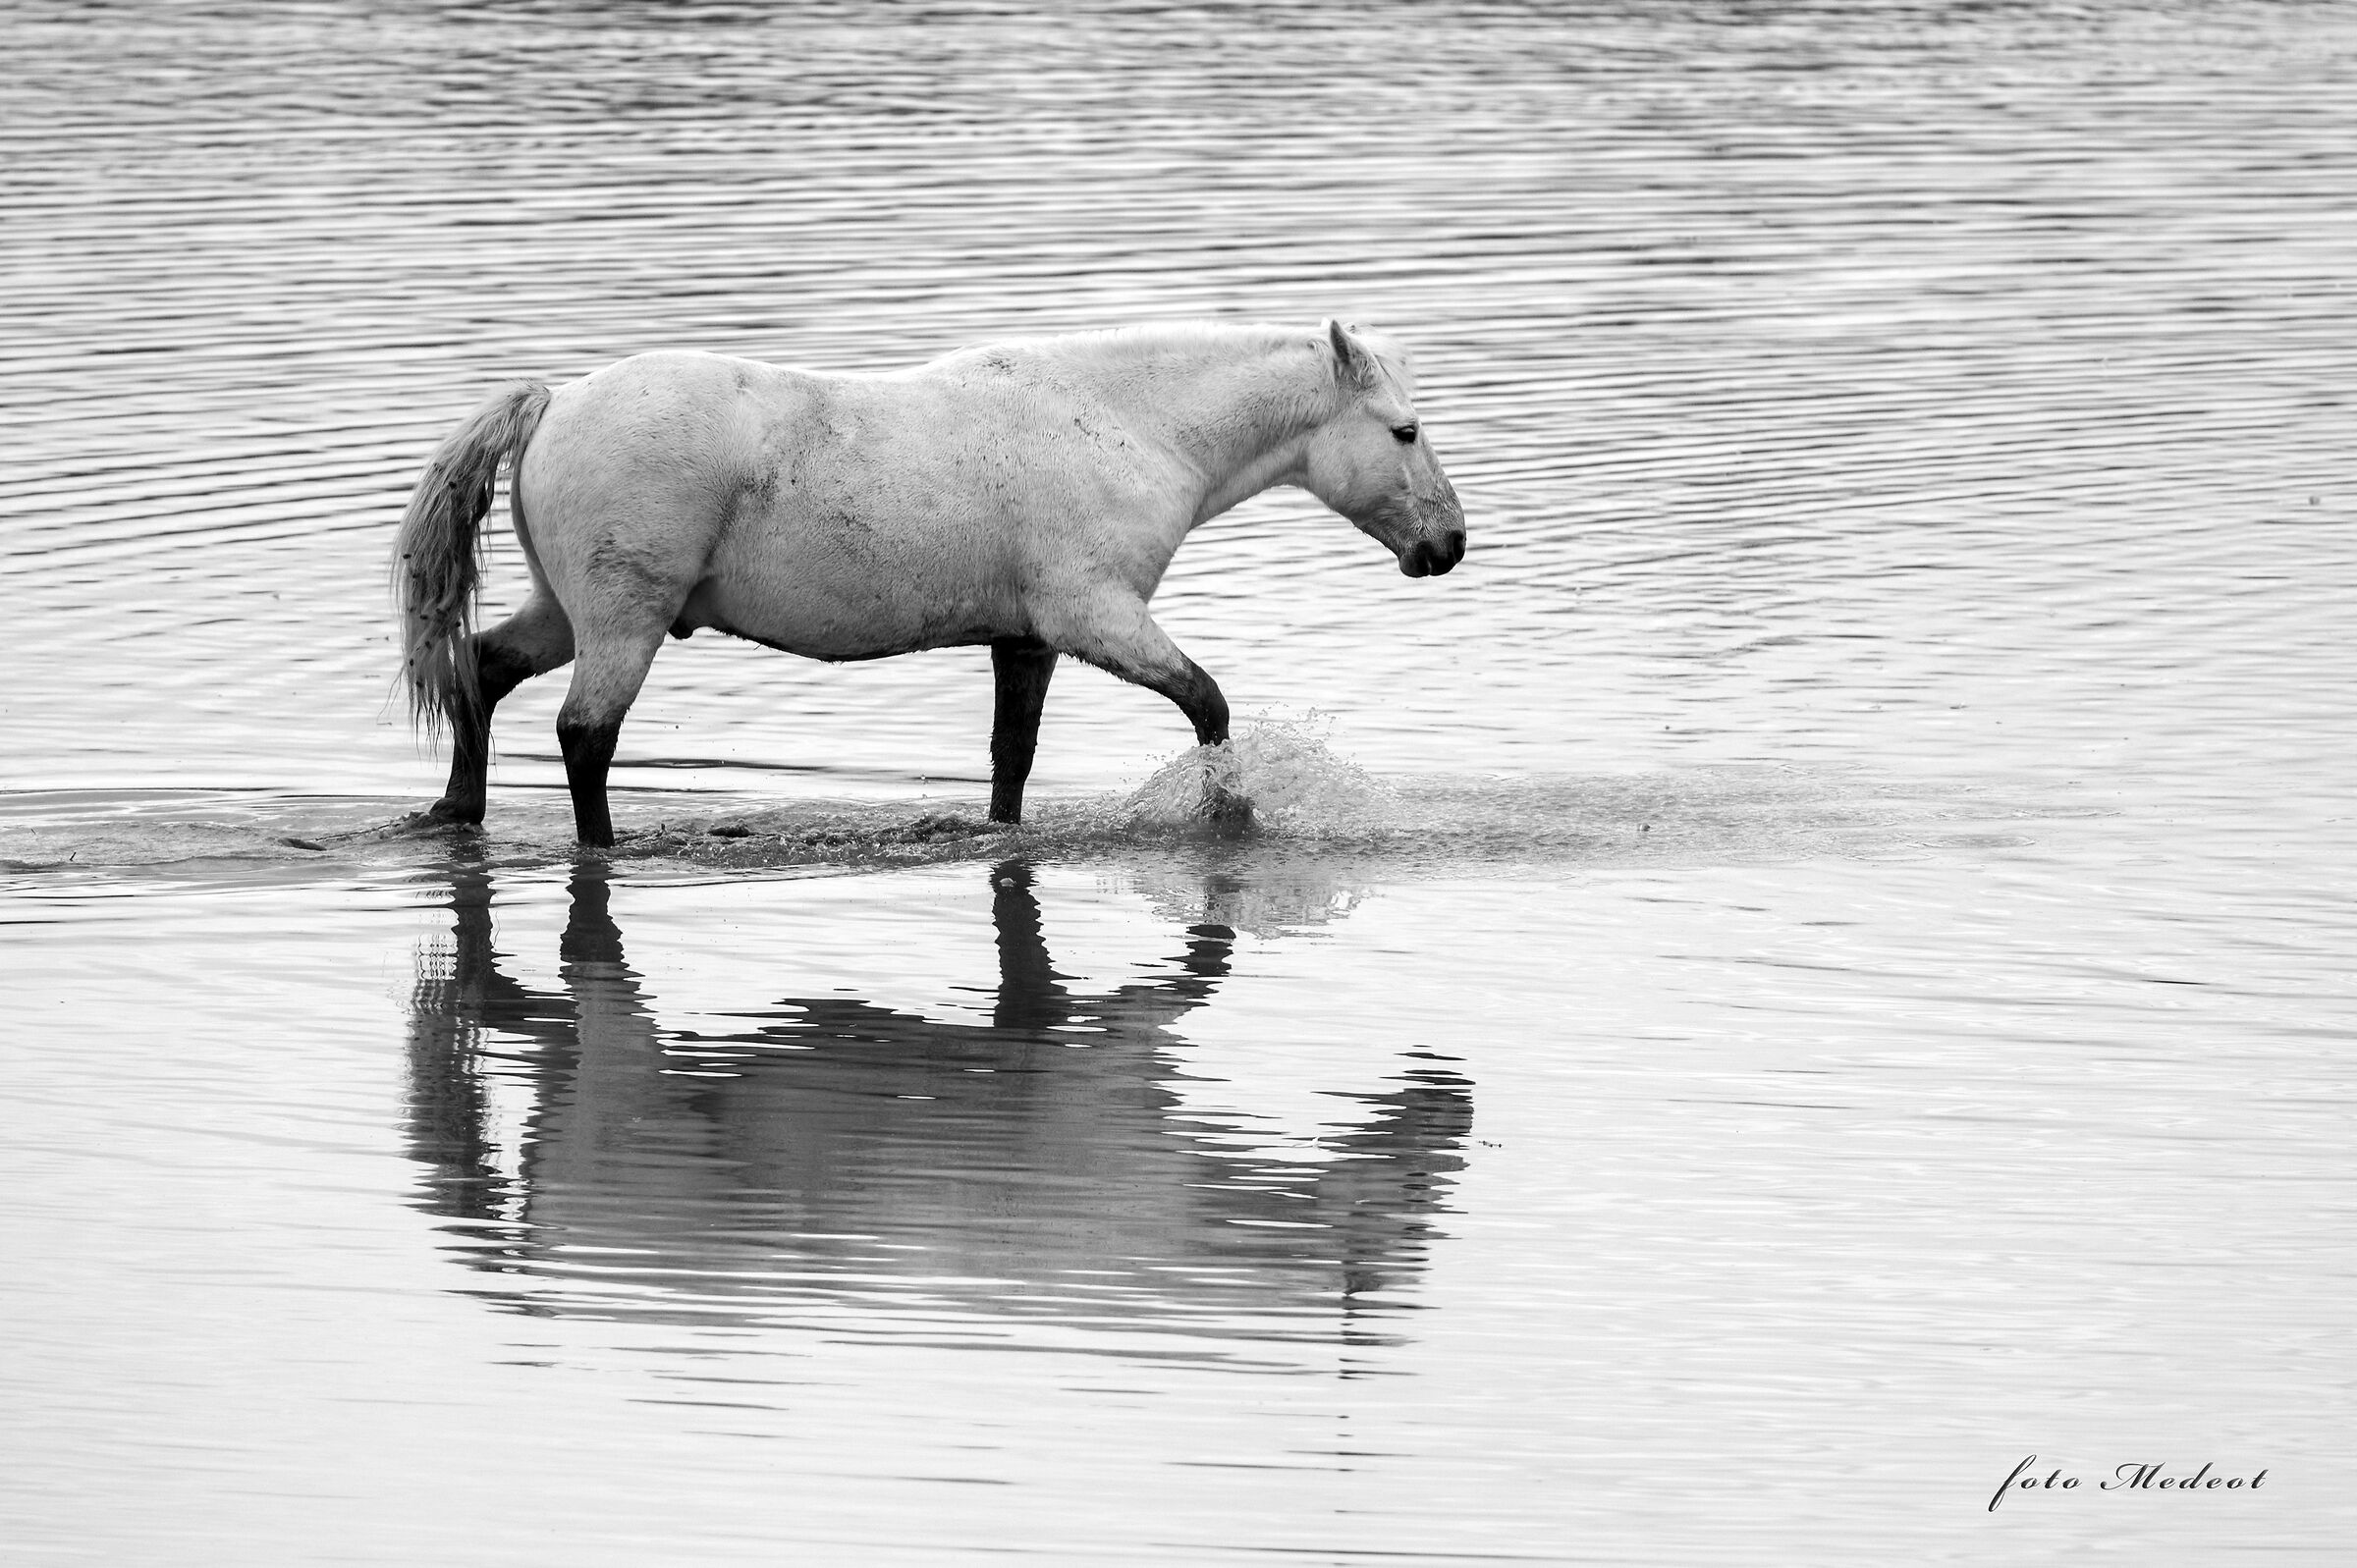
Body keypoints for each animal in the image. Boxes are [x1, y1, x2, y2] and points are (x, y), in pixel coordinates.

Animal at [391, 319, 1466, 847]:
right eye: (1404, 430)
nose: (1449, 542)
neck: (1124, 420)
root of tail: (554, 403)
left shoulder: (1027, 638)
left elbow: (1011, 758)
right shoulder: (1095, 616)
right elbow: (1209, 703)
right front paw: (1230, 815)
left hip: (566, 615)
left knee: (482, 669)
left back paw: (458, 810)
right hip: (624, 623)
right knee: (585, 736)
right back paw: (601, 845)